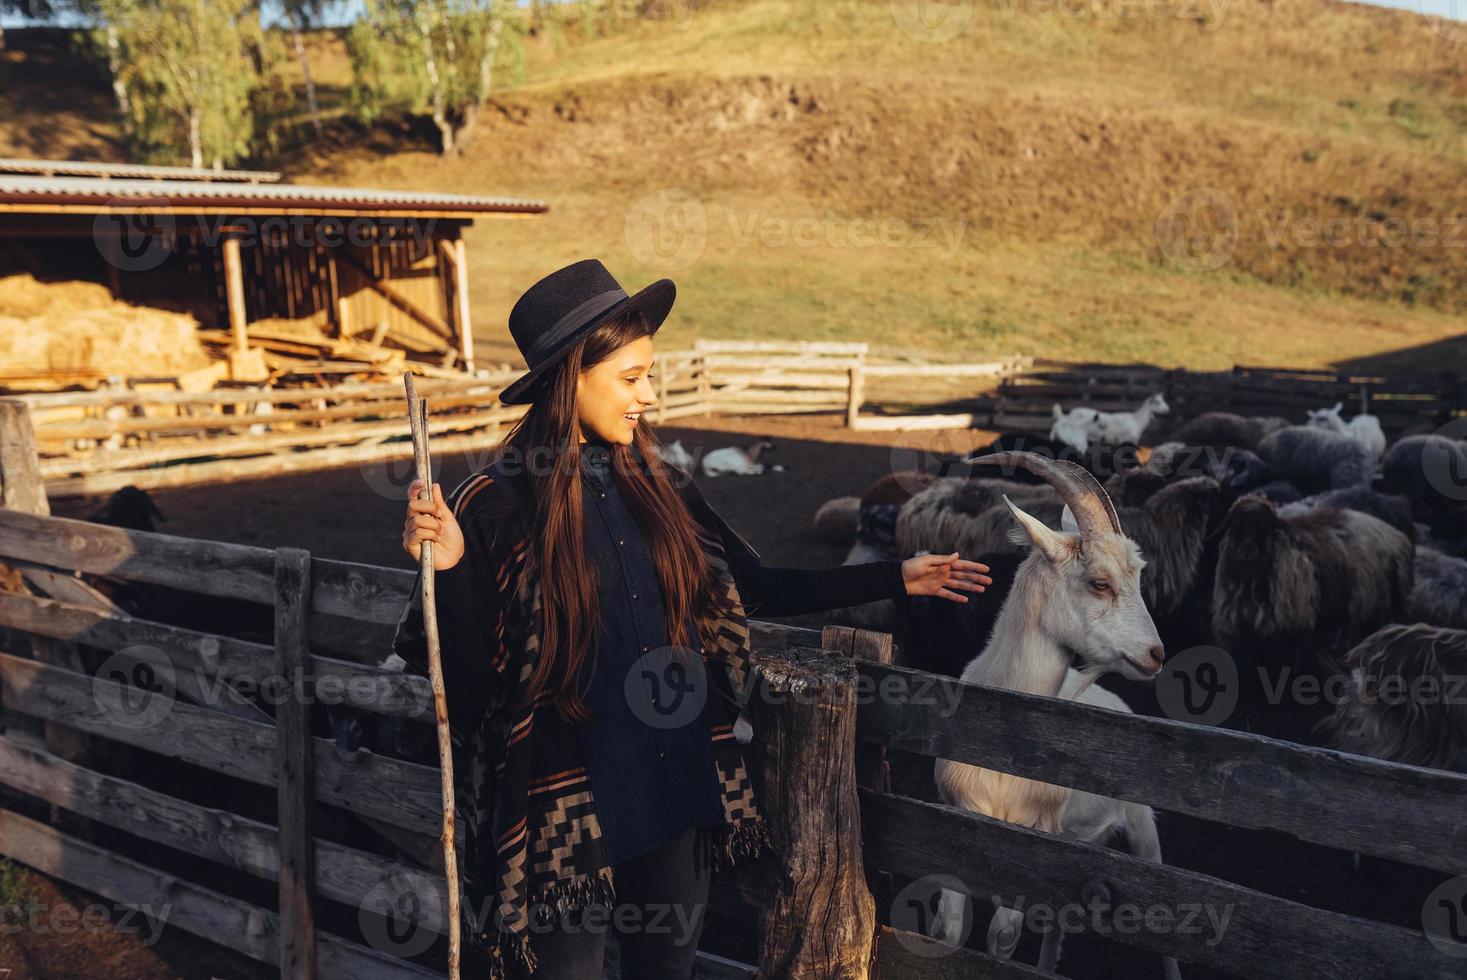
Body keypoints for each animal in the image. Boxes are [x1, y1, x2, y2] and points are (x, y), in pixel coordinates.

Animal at [933, 454, 1185, 979]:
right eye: (1100, 582)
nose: (1155, 654)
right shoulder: (956, 818)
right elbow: (949, 931)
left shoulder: (1033, 835)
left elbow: (1002, 939)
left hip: (1140, 827)